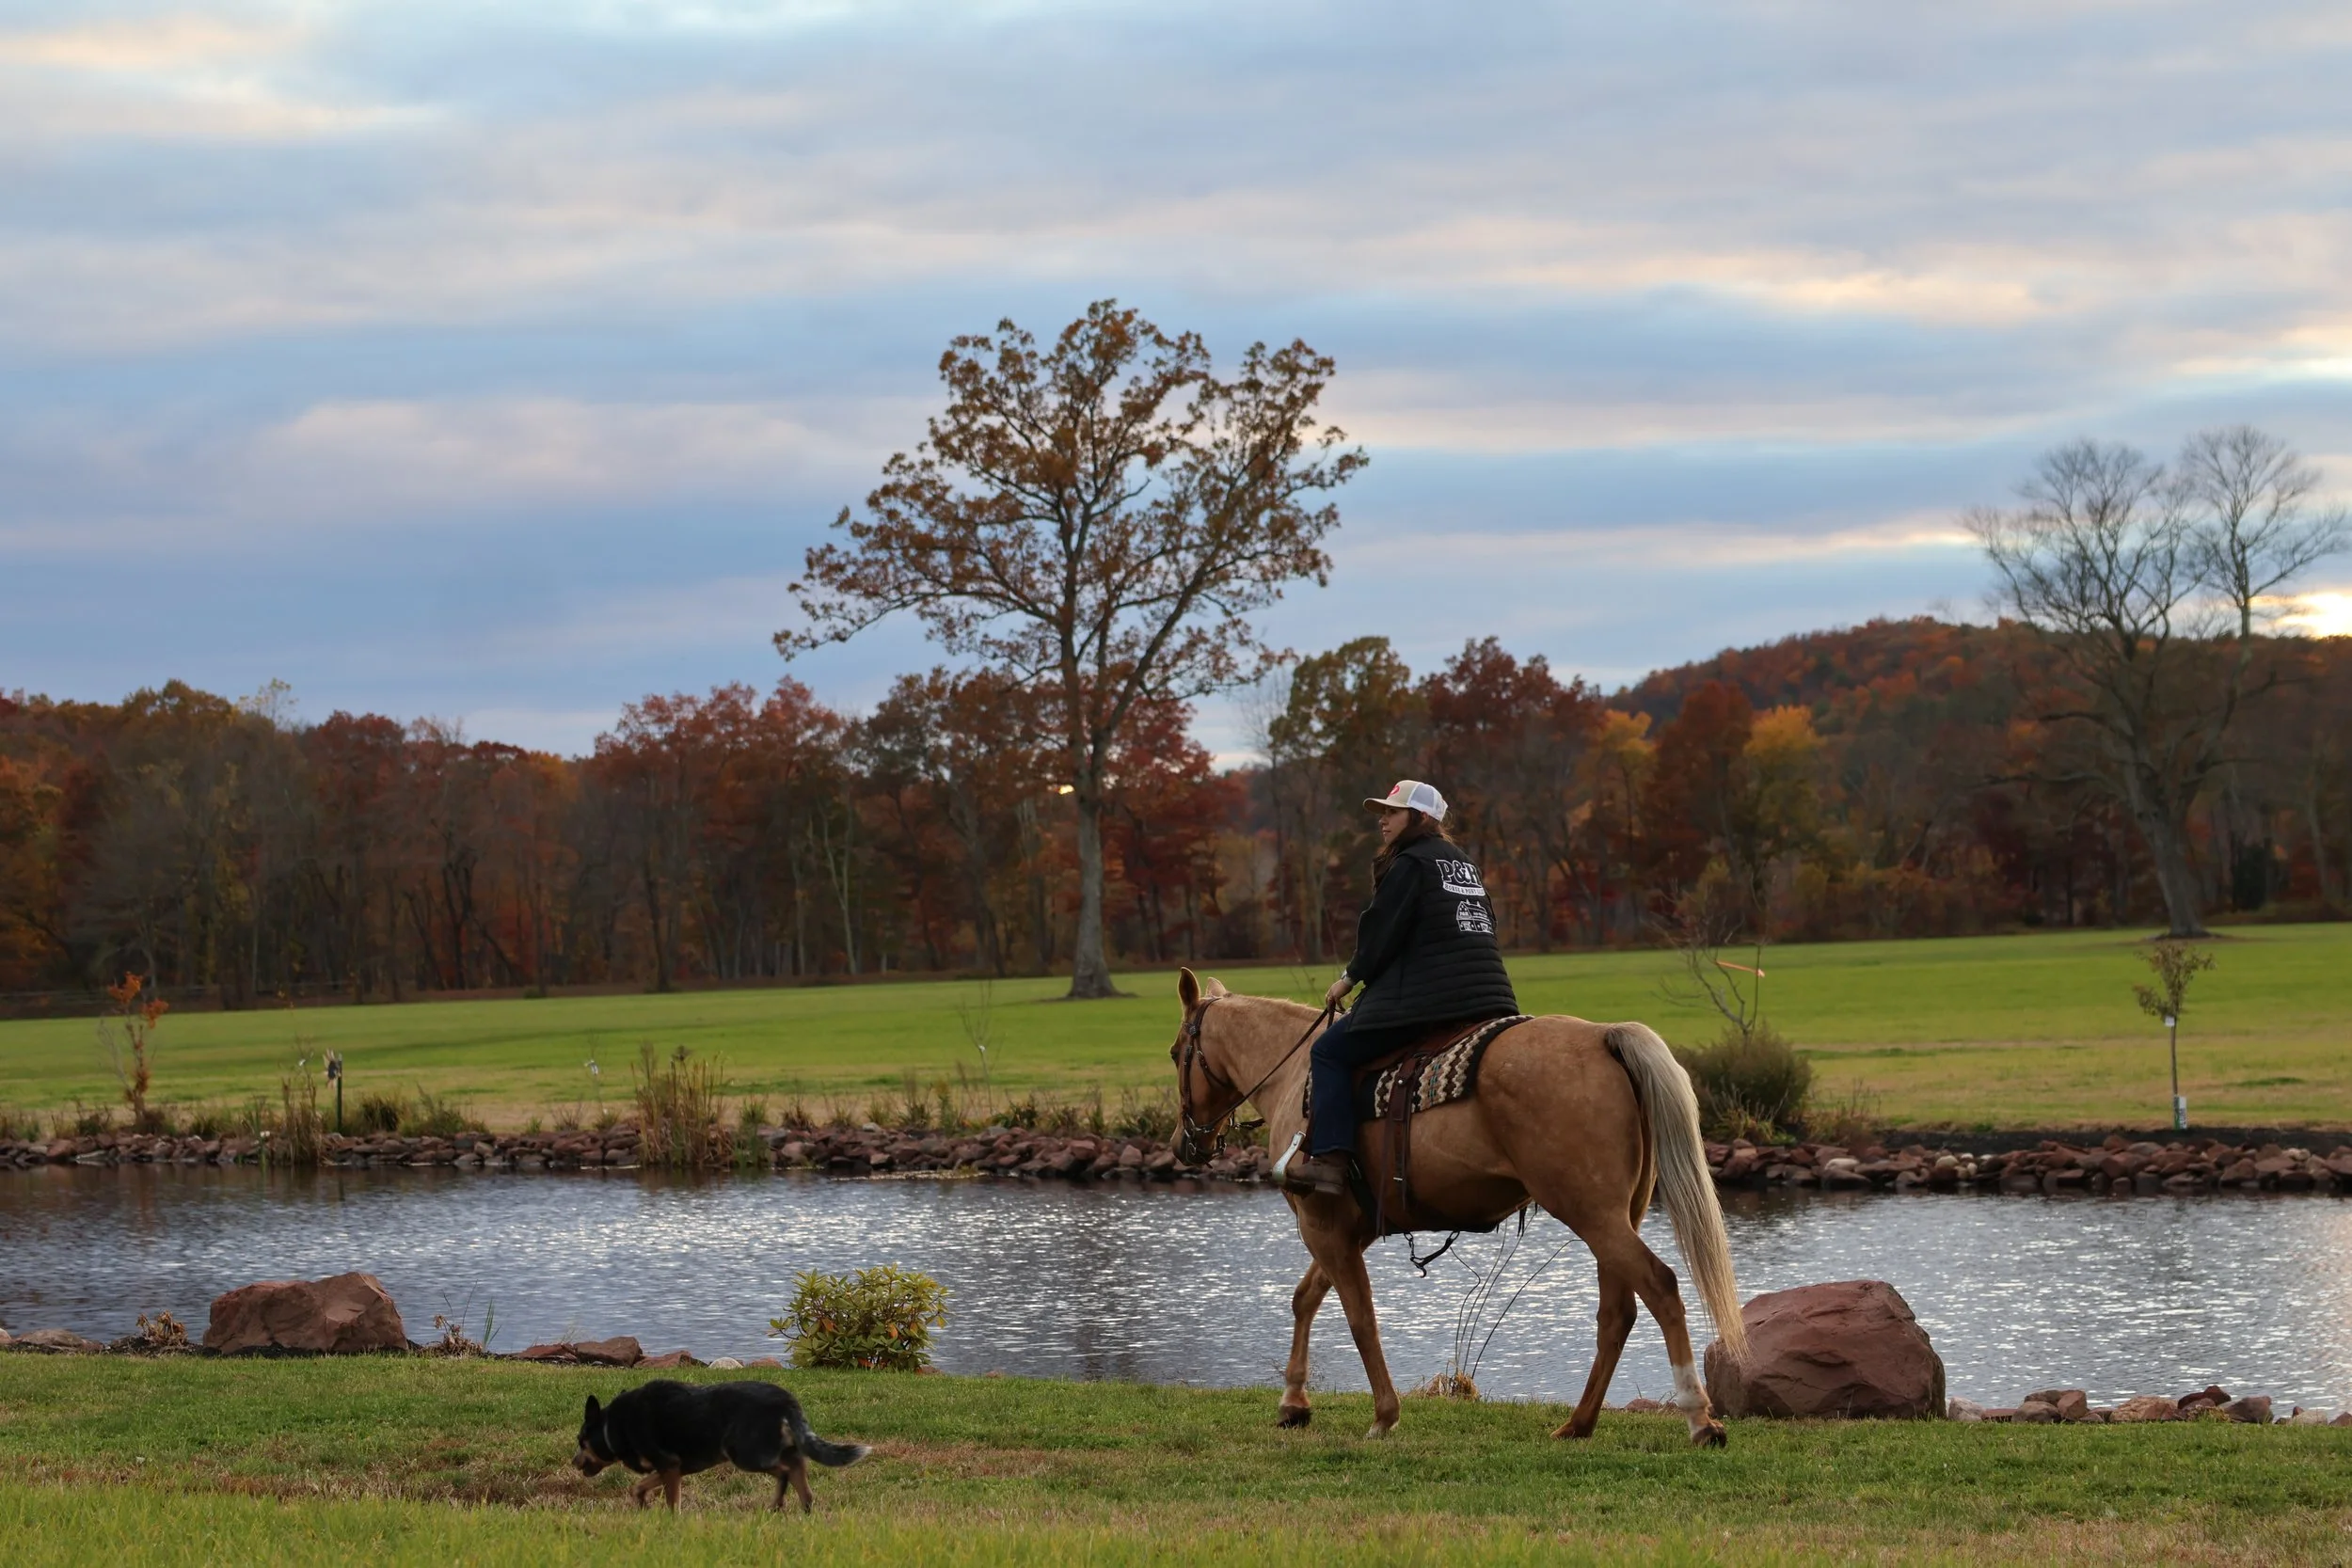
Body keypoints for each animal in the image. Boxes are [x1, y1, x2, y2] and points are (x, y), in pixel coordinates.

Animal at [1168, 967, 1747, 1445]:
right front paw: (1293, 1403)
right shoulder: (1347, 1230)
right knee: (1618, 1312)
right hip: (1617, 1215)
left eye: (1176, 1053)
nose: (1182, 1143)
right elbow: (1306, 1298)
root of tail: (1603, 1037)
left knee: (1660, 1286)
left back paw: (1699, 1419)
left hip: (1592, 1214)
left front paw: (1383, 1415)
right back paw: (1578, 1424)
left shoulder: (1321, 1226)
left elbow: (1359, 1317)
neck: (1295, 1078)